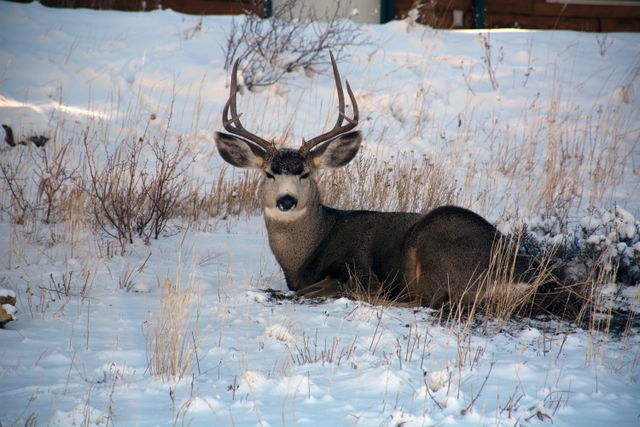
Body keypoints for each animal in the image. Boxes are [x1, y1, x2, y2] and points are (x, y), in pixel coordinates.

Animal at [214, 53, 541, 308]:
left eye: (305, 173)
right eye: (269, 173)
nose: (286, 200)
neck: (308, 252)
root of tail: (522, 274)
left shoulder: (359, 273)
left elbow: (305, 292)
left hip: (436, 245)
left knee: (432, 301)